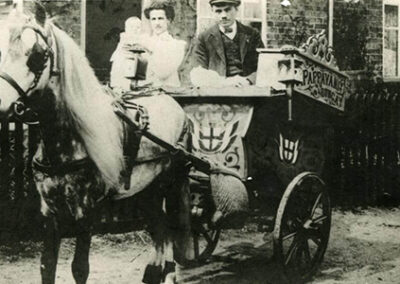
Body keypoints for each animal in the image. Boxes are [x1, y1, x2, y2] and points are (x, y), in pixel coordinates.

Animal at [0, 3, 192, 284]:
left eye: (38, 55)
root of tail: (175, 106)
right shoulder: (50, 211)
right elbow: (47, 266)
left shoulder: (87, 211)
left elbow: (80, 268)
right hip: (148, 189)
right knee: (158, 225)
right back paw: (155, 272)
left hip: (171, 184)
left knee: (171, 226)